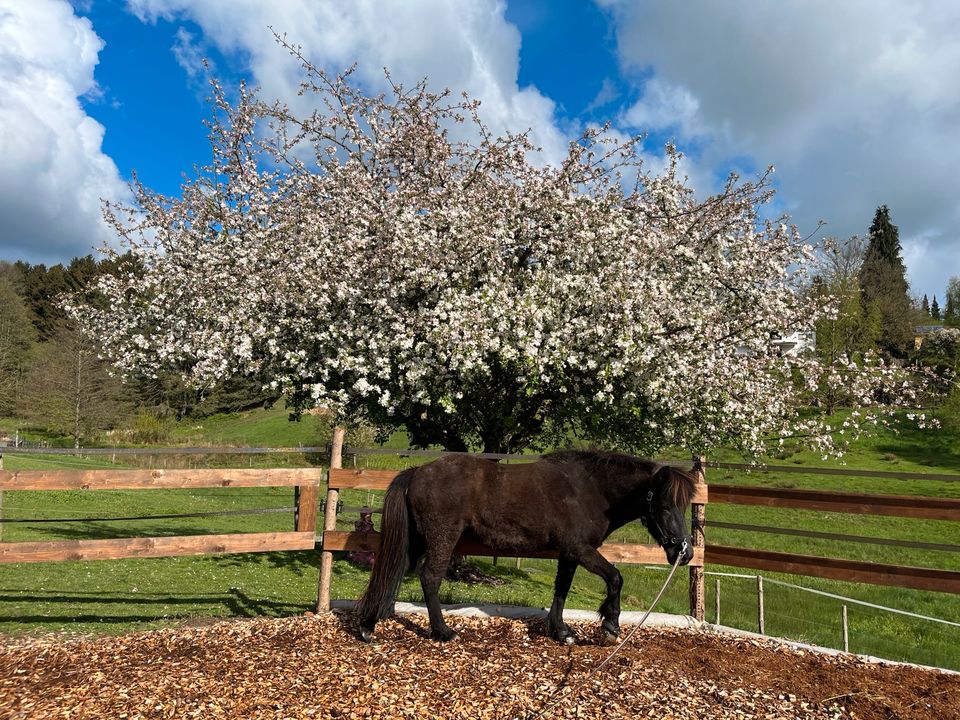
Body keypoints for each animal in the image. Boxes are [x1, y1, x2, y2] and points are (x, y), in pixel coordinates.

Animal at [356, 452, 692, 644]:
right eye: (665, 506)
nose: (685, 552)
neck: (589, 490)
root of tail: (417, 471)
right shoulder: (581, 549)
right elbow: (615, 577)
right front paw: (610, 625)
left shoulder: (569, 553)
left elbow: (561, 589)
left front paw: (560, 631)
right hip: (442, 539)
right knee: (429, 577)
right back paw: (443, 632)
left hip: (416, 539)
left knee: (396, 568)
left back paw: (371, 623)